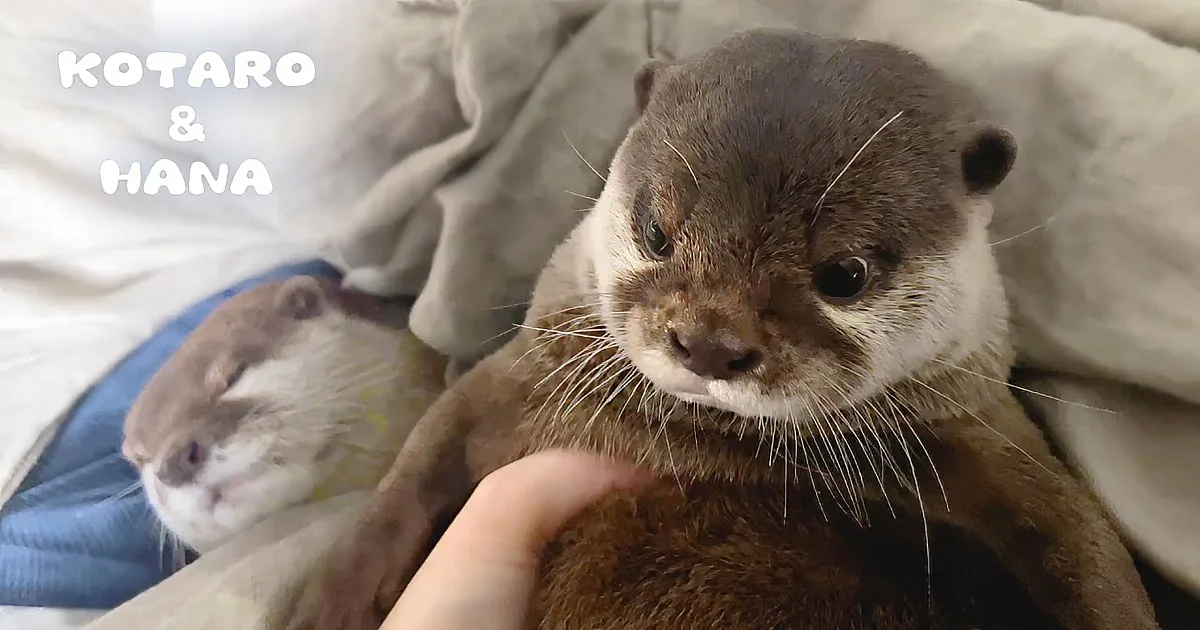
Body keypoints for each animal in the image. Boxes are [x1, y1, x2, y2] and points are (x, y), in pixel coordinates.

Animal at [284, 29, 1158, 629]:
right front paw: (329, 605)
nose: (709, 343)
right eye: (656, 231)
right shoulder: (517, 379)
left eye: (845, 275)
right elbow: (414, 465)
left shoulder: (988, 445)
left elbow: (1091, 556)